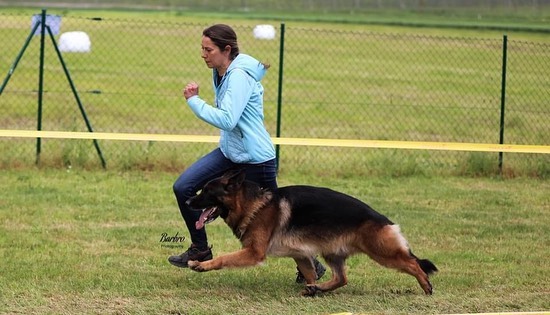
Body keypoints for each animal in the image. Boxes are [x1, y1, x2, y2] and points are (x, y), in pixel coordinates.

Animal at [188, 170, 438, 296]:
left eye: (208, 191)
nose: (189, 201)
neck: (255, 205)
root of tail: (383, 219)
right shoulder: (300, 255)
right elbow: (309, 273)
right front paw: (312, 287)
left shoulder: (253, 252)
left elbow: (223, 258)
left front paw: (201, 265)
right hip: (332, 253)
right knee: (342, 278)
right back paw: (317, 289)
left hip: (382, 253)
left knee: (413, 263)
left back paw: (426, 286)